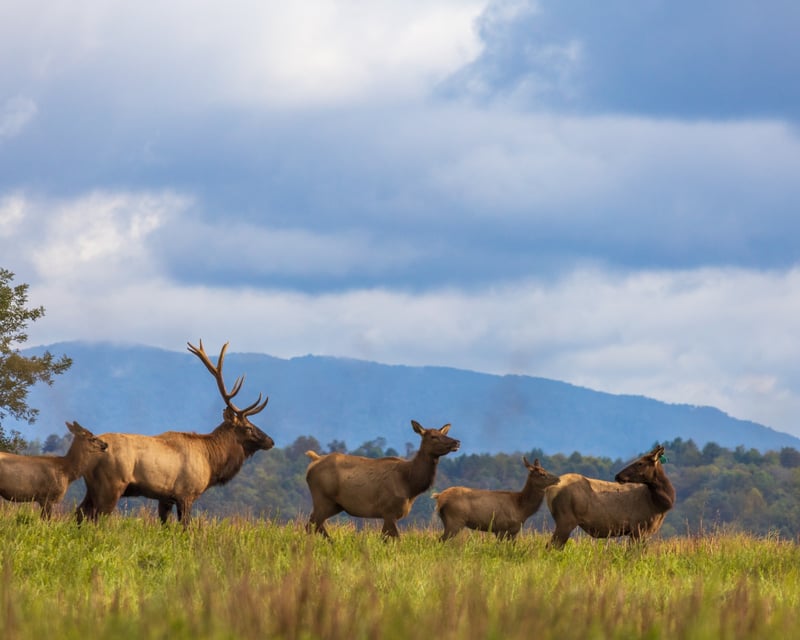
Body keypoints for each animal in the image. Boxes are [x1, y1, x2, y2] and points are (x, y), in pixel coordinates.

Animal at [76, 340, 275, 528]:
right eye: (248, 427)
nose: (270, 441)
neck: (211, 462)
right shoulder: (186, 493)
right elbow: (185, 527)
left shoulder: (165, 497)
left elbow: (165, 526)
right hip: (112, 484)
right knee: (96, 516)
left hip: (93, 486)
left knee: (80, 512)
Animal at [305, 420, 460, 539]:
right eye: (433, 436)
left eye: (443, 434)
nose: (457, 442)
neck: (410, 485)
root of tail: (314, 460)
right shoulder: (389, 510)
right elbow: (396, 539)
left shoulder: (388, 514)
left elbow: (384, 538)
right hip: (322, 498)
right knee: (310, 525)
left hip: (334, 505)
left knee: (317, 525)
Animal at [545, 445, 675, 549]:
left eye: (640, 463)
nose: (618, 475)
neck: (659, 506)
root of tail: (549, 490)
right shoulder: (639, 527)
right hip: (565, 519)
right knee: (551, 546)